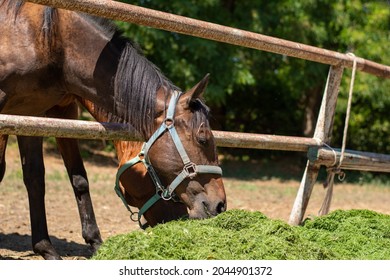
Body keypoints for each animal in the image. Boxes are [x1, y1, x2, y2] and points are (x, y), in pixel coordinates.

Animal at [0, 0, 225, 260]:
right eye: (202, 138)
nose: (220, 205)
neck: (51, 38)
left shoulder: (41, 112)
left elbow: (55, 178)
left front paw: (57, 246)